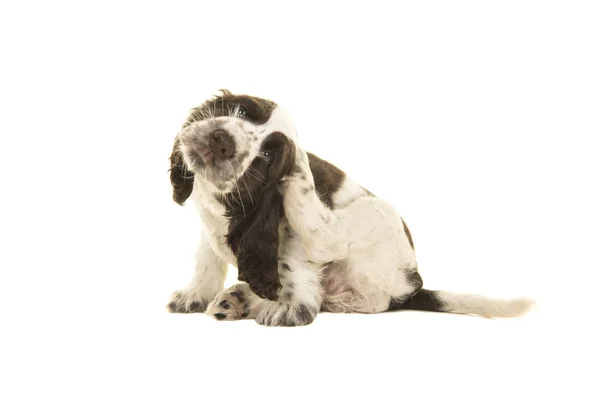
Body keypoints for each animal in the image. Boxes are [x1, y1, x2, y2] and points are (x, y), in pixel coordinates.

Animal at [166, 89, 532, 326]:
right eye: (240, 111)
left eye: (267, 156)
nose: (222, 140)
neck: (222, 200)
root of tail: (411, 287)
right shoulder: (209, 226)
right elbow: (207, 261)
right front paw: (195, 295)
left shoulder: (284, 227)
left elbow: (292, 265)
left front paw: (291, 309)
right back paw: (239, 299)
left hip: (371, 213)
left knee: (358, 282)